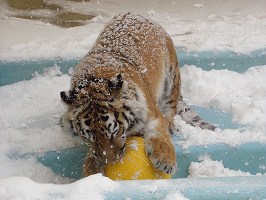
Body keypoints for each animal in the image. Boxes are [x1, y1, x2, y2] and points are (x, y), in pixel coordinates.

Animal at [59, 12, 214, 177]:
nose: (110, 162)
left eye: (114, 132)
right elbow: (91, 155)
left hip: (171, 77)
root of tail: (137, 14)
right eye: (88, 138)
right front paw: (92, 172)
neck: (92, 81)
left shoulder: (153, 113)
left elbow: (159, 132)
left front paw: (165, 160)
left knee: (170, 110)